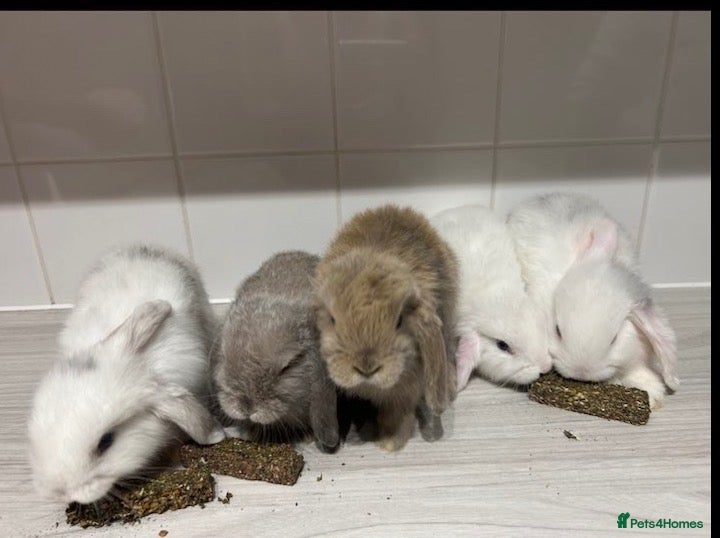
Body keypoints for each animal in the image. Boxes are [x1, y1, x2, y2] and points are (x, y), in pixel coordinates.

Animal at [313, 204, 458, 452]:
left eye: (399, 321)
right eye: (332, 319)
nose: (367, 367)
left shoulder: (406, 391)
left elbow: (397, 414)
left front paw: (389, 442)